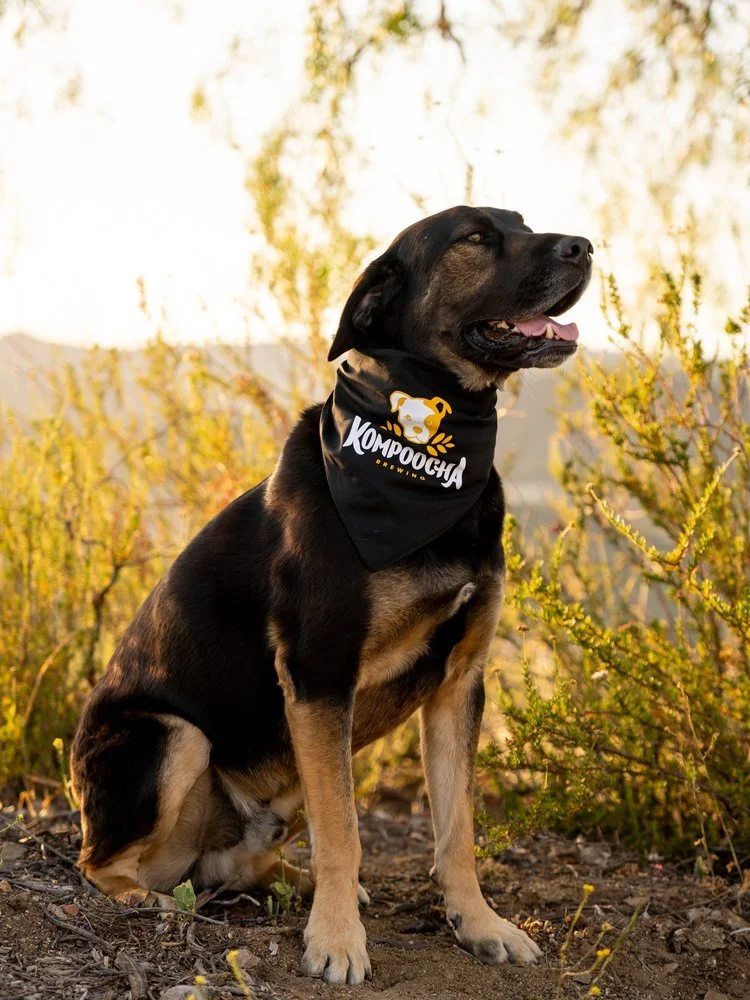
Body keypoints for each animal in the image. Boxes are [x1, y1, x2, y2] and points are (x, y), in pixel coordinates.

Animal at [71, 205, 592, 986]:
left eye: (523, 221)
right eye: (475, 237)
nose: (585, 246)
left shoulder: (459, 683)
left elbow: (456, 829)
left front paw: (479, 924)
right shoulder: (319, 675)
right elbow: (345, 830)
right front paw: (339, 941)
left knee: (244, 860)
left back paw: (294, 880)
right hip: (172, 736)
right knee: (97, 862)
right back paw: (155, 903)